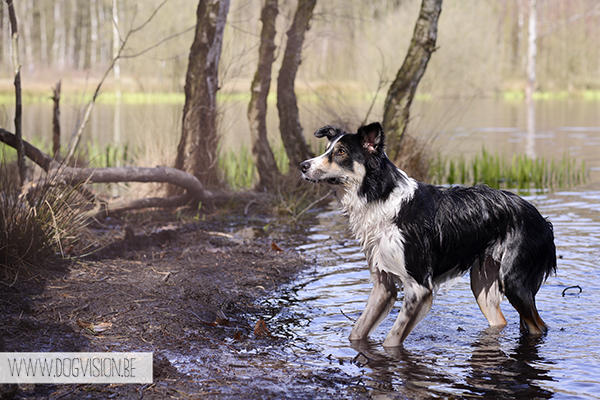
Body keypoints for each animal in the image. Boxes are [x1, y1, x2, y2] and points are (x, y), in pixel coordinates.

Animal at [300, 122, 556, 346]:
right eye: (327, 149)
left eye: (341, 152)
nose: (303, 165)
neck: (380, 197)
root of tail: (541, 220)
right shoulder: (383, 286)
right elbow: (357, 332)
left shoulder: (419, 287)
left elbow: (391, 340)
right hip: (483, 285)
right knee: (502, 321)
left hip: (513, 281)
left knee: (539, 327)